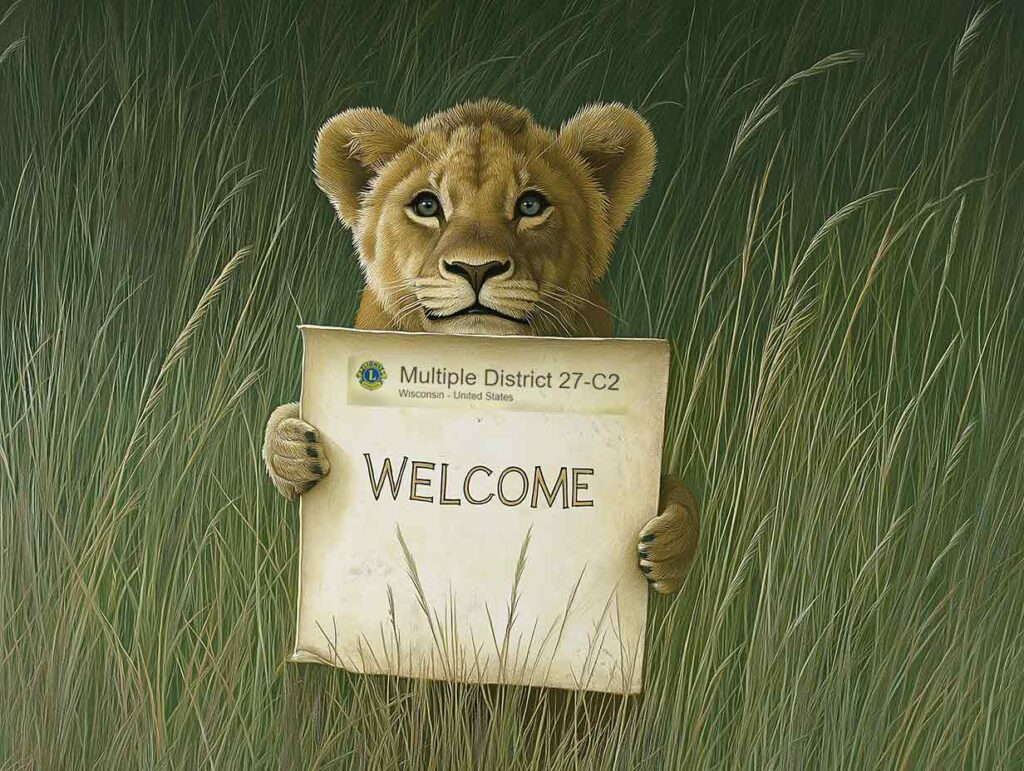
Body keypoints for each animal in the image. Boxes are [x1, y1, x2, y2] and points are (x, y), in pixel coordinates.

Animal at [263, 99, 698, 593]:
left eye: (530, 204)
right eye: (427, 205)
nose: (476, 269)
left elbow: (675, 486)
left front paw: (666, 545)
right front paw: (291, 448)